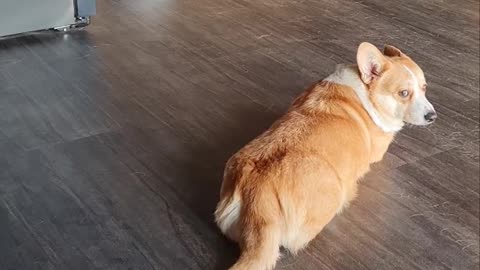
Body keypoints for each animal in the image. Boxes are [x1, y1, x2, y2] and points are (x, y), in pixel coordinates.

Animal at [216, 42, 436, 270]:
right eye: (403, 93)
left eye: (424, 87)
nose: (432, 116)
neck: (367, 92)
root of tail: (257, 200)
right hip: (332, 191)